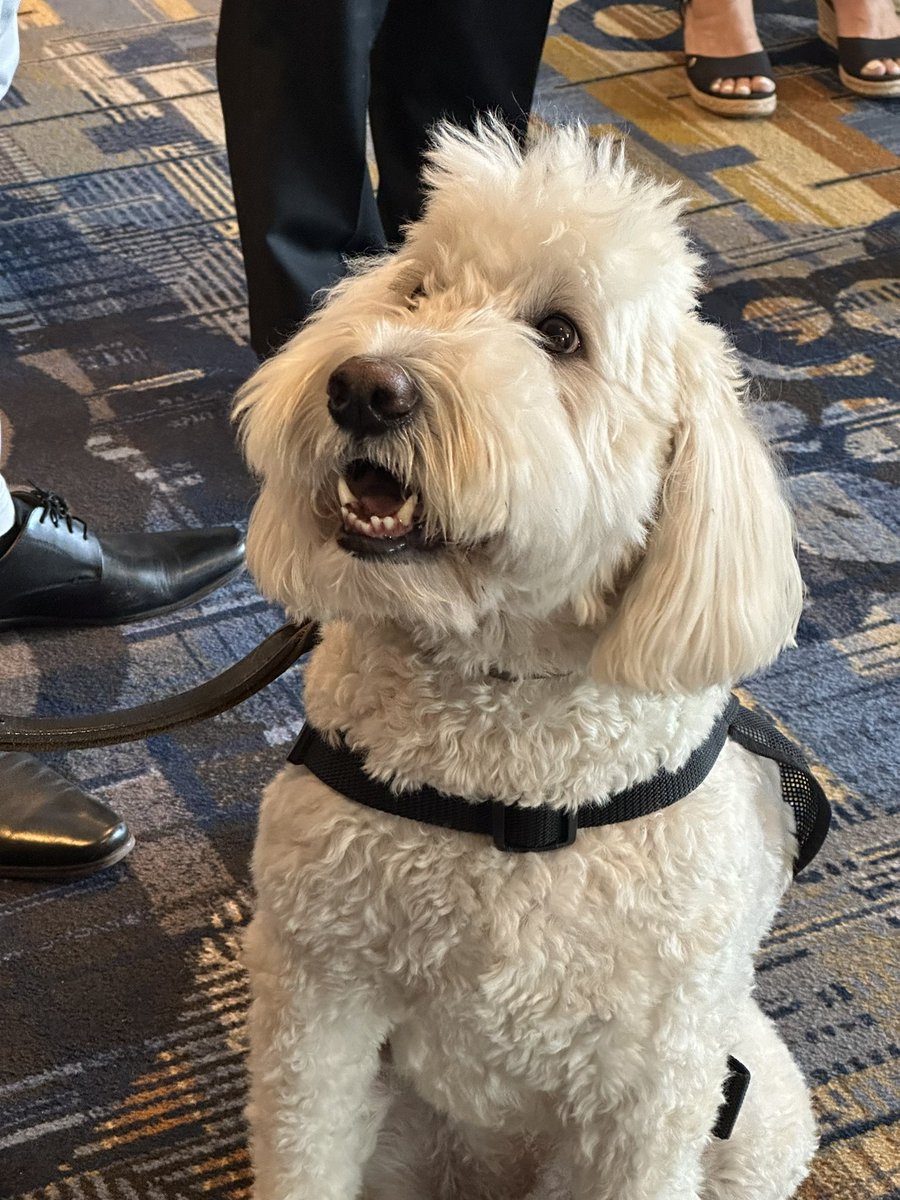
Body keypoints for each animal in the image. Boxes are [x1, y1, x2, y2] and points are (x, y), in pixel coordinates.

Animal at [234, 121, 816, 1200]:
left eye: (560, 334)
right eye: (417, 290)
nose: (363, 387)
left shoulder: (657, 1076)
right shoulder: (318, 999)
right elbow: (303, 1148)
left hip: (757, 1110)